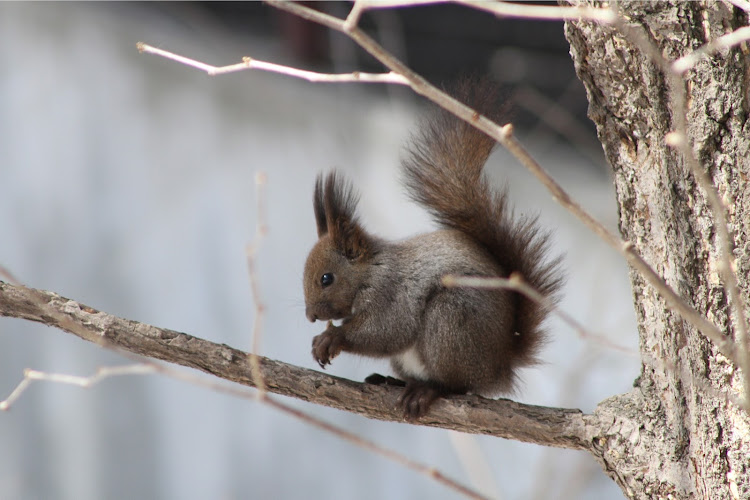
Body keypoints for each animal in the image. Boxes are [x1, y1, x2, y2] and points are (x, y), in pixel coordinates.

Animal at [302, 81, 560, 418]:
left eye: (326, 278)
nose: (310, 316)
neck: (370, 271)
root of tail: (499, 368)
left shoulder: (391, 294)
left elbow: (386, 331)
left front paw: (332, 337)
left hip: (451, 319)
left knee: (457, 385)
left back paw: (428, 390)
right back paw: (394, 381)